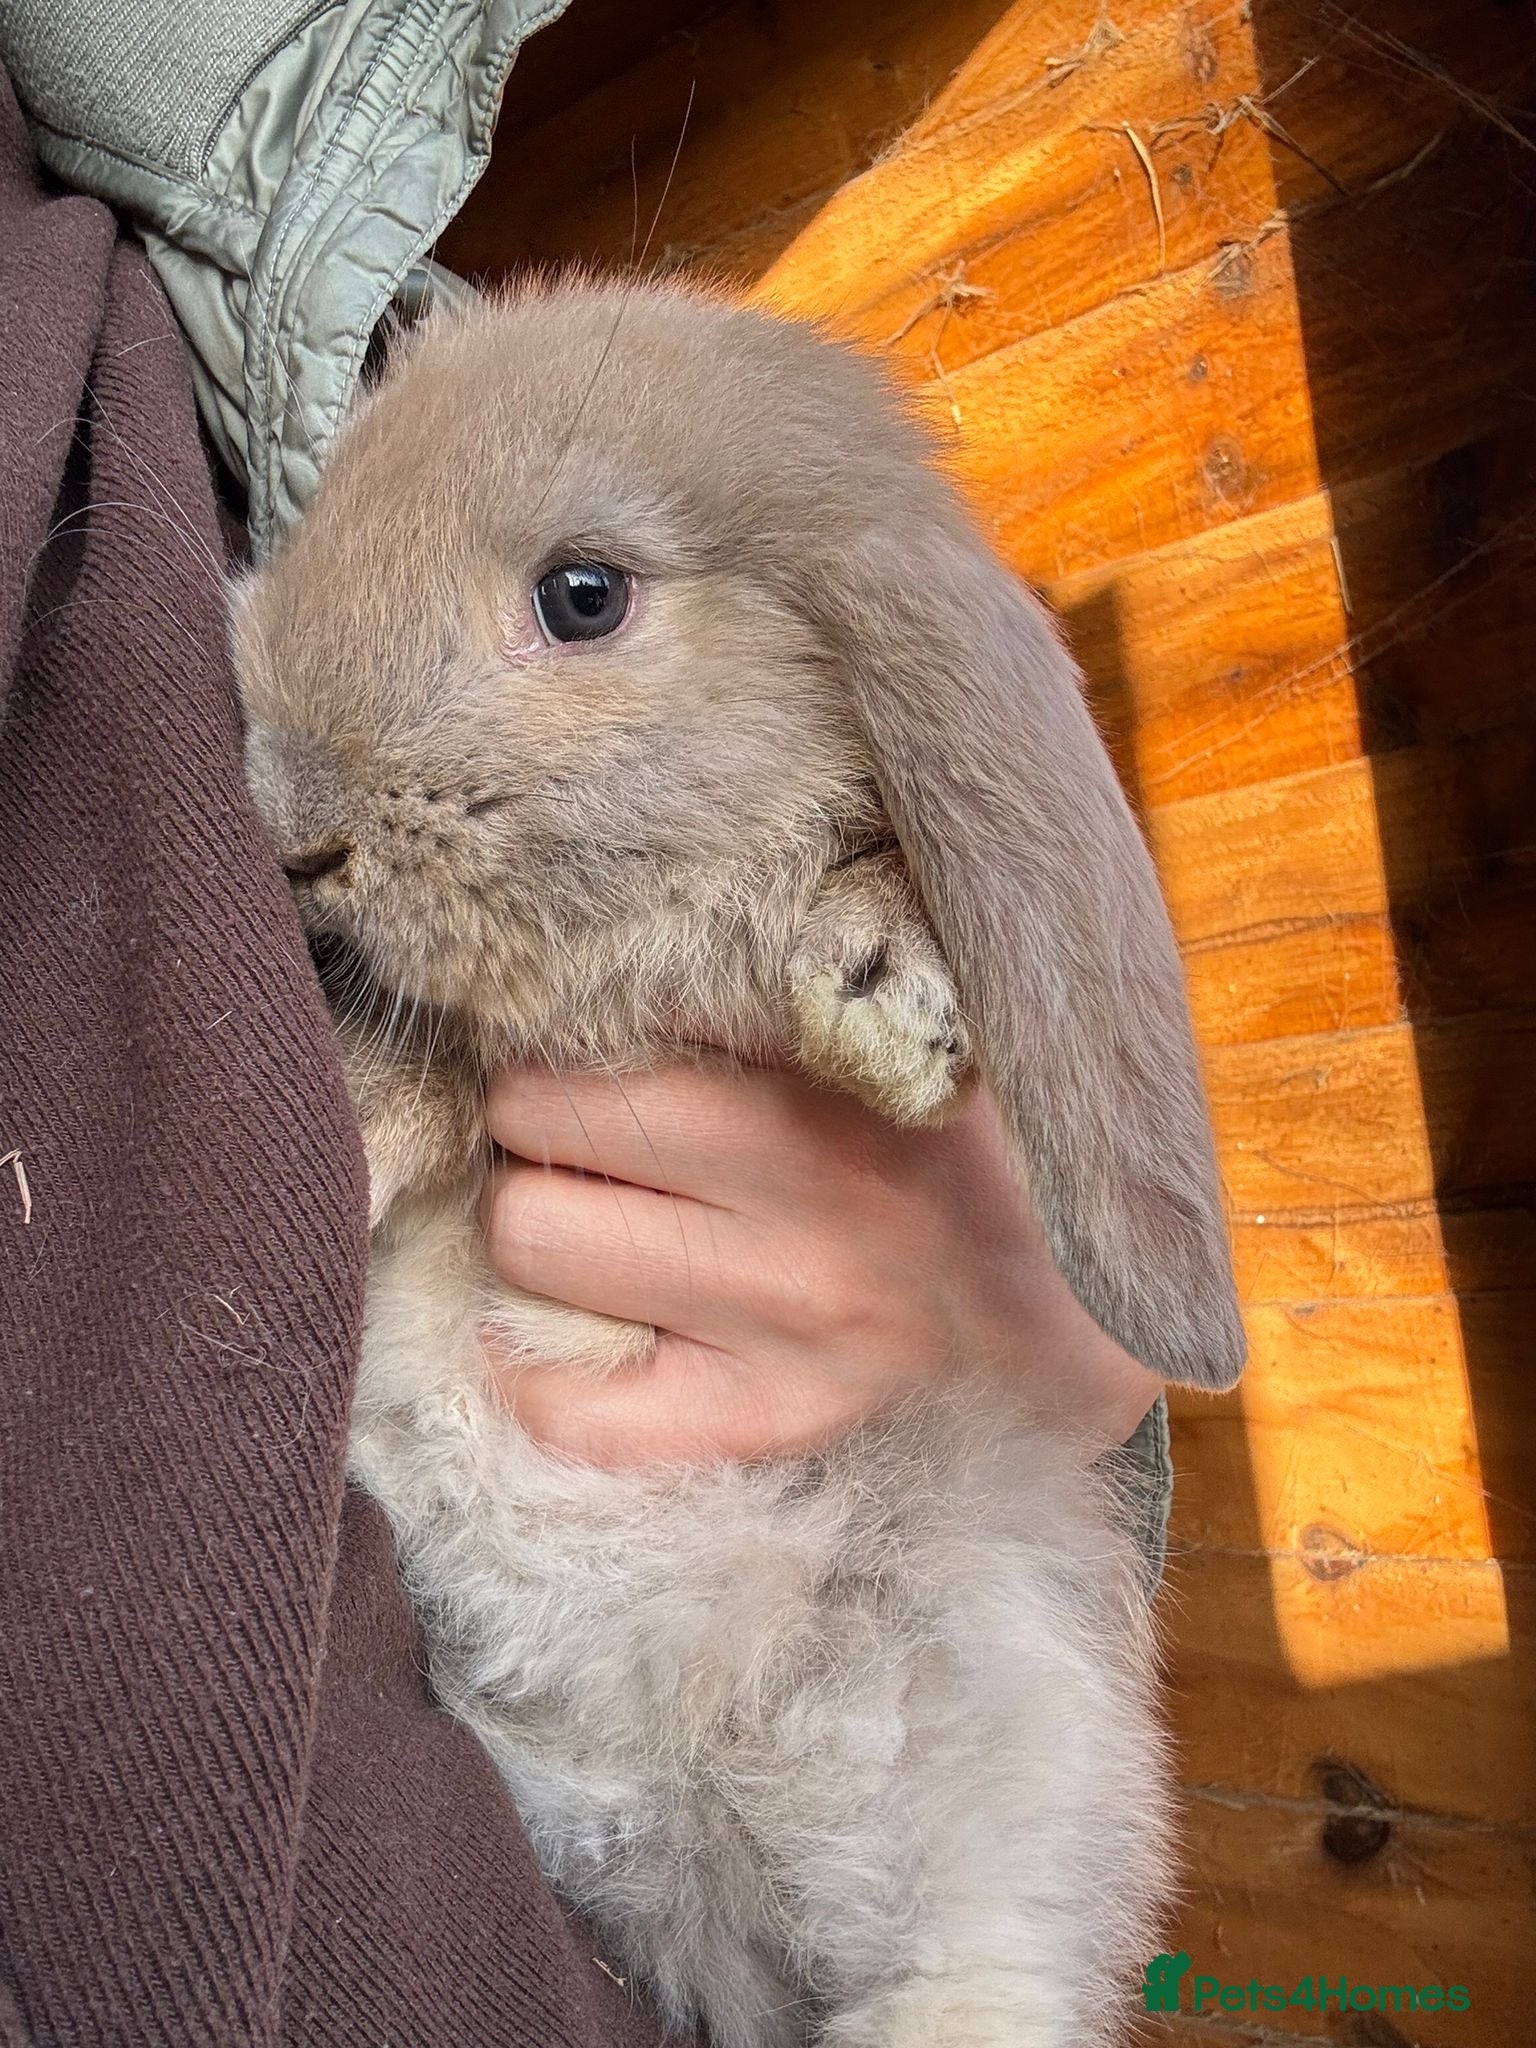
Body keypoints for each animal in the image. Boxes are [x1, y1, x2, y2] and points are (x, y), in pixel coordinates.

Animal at [231, 276, 1244, 2048]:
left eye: (583, 597)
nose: (290, 817)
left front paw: (888, 995)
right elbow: (427, 1057)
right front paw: (349, 1139)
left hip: (985, 1859)